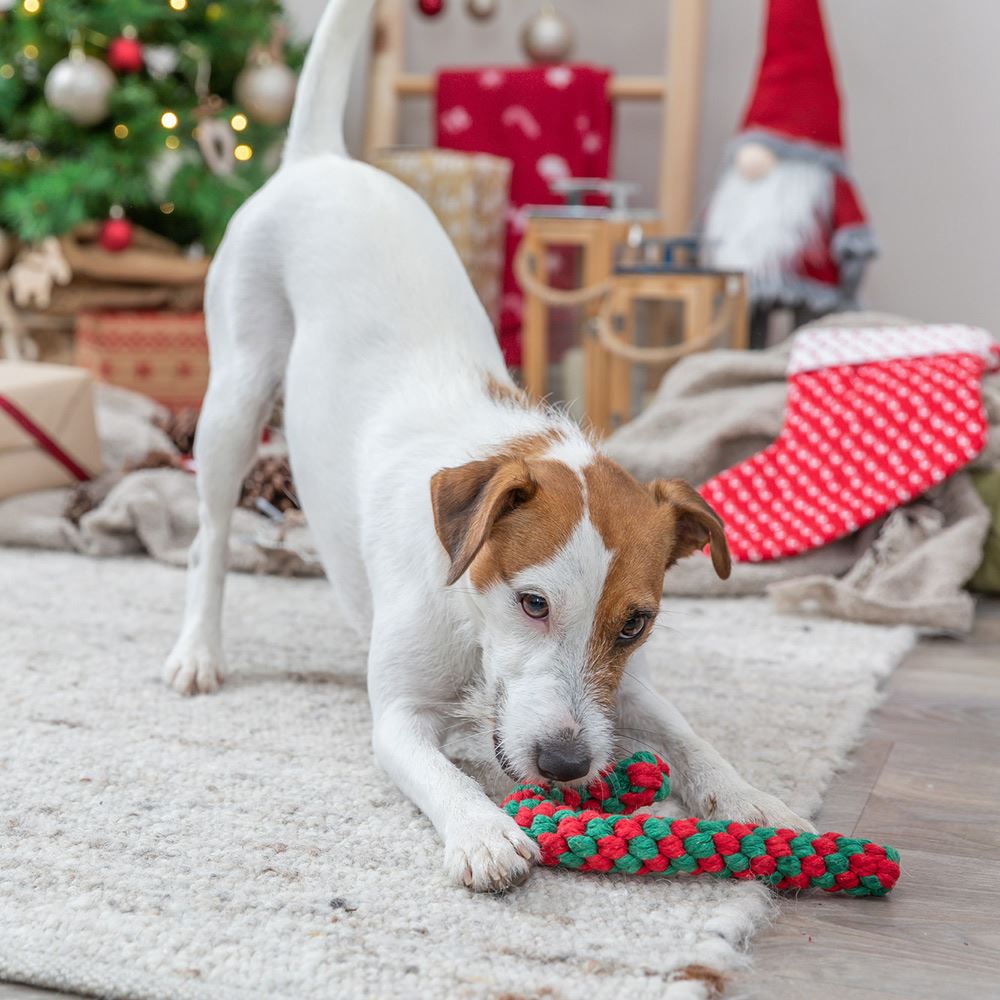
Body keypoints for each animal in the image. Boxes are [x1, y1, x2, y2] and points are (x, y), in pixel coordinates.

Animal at [166, 0, 812, 892]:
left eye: (636, 623)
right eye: (532, 603)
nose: (569, 764)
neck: (469, 608)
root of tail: (320, 159)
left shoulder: (627, 691)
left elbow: (689, 737)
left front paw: (749, 796)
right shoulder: (399, 717)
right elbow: (438, 772)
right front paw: (482, 831)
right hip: (235, 395)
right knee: (210, 537)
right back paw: (198, 648)